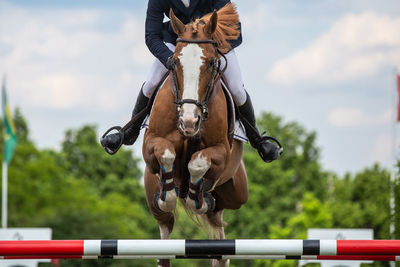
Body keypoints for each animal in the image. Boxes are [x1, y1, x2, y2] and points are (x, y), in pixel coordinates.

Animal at [141, 3, 247, 266]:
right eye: (175, 63)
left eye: (210, 63)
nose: (189, 120)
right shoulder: (150, 144)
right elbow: (166, 153)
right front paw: (168, 194)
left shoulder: (222, 152)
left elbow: (198, 163)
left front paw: (196, 196)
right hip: (152, 195)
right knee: (165, 232)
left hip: (237, 193)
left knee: (219, 231)